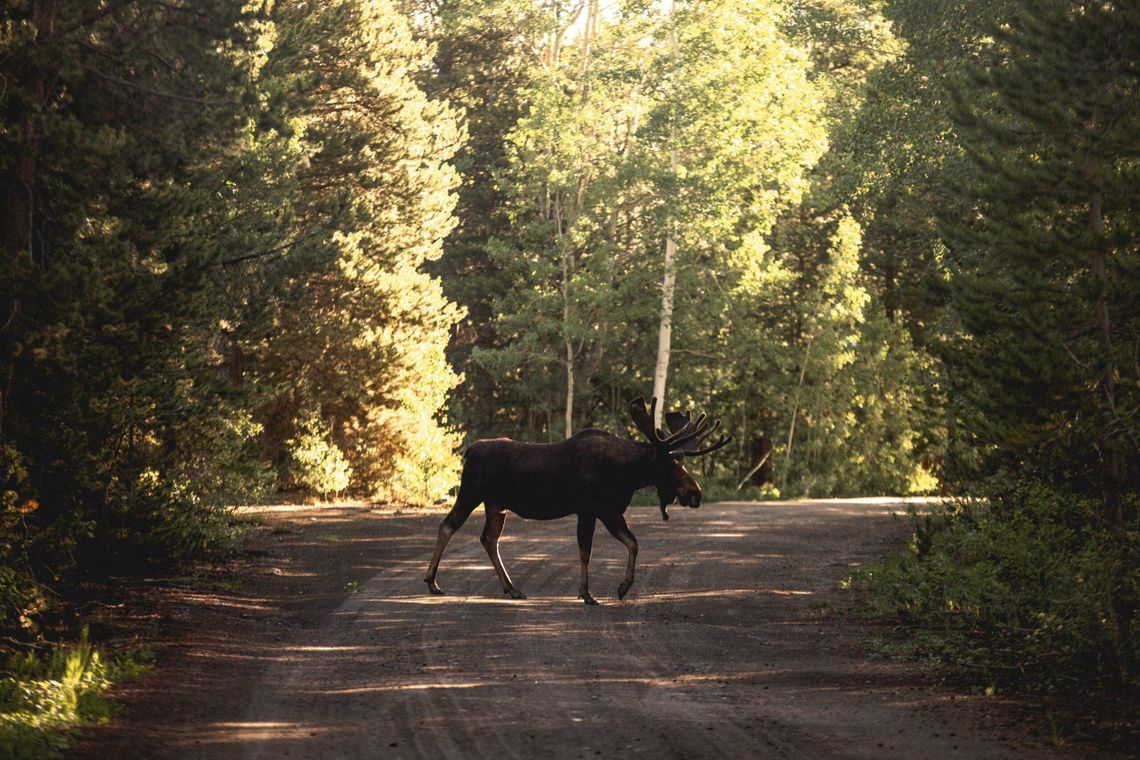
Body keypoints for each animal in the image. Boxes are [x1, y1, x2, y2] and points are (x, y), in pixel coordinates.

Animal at [426, 398, 729, 606]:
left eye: (682, 462)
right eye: (671, 465)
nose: (696, 493)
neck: (626, 475)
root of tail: (469, 451)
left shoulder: (610, 511)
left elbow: (633, 543)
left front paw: (623, 587)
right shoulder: (589, 510)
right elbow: (586, 551)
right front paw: (587, 593)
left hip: (496, 505)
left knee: (488, 538)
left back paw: (511, 588)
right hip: (471, 493)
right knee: (447, 526)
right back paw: (432, 582)